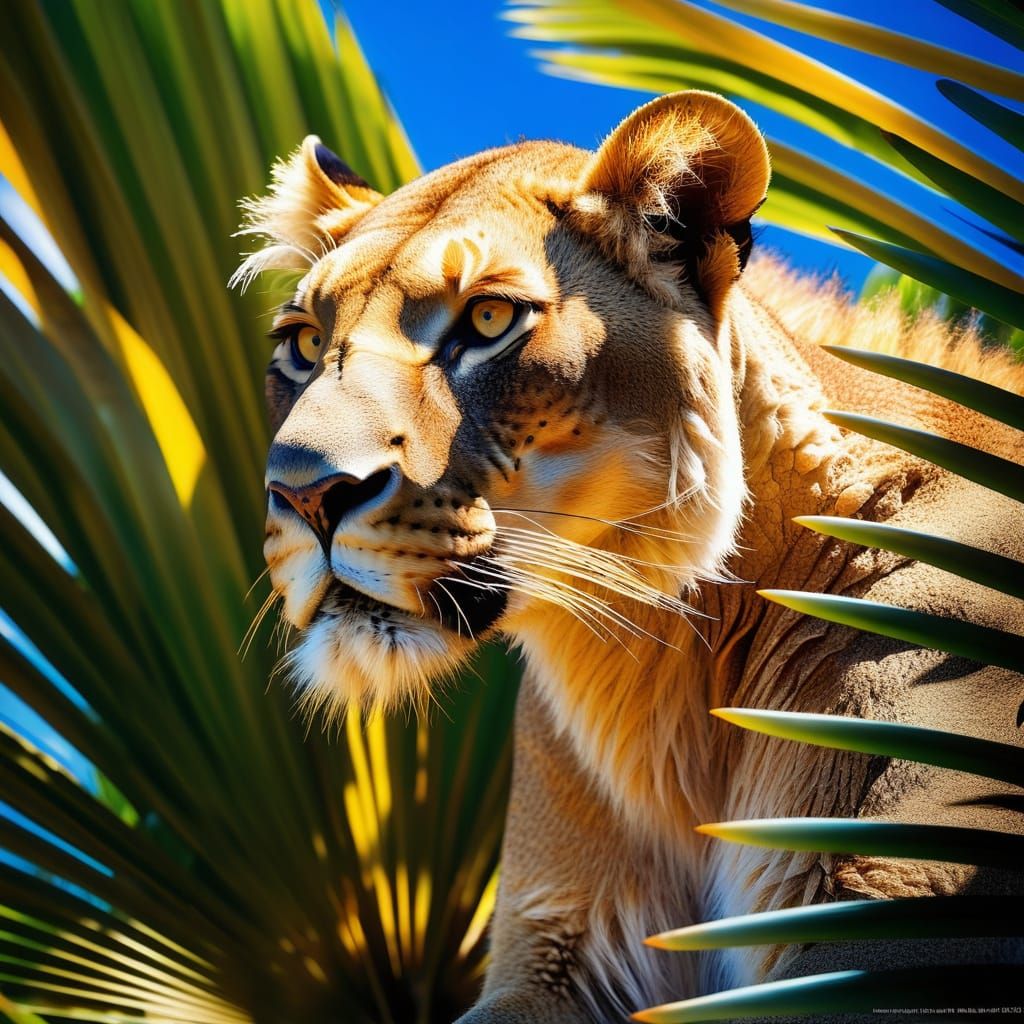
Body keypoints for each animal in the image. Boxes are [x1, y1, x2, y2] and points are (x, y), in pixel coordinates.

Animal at [234, 91, 1024, 1022]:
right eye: (303, 344)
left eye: (489, 321)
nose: (306, 494)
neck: (662, 666)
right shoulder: (552, 945)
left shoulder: (900, 902)